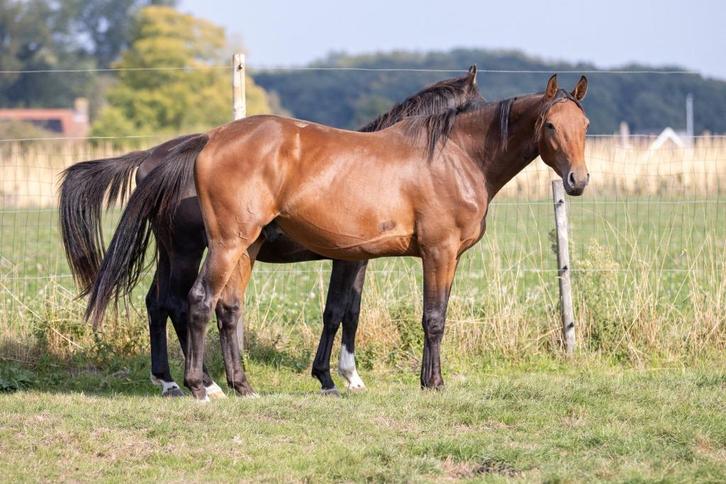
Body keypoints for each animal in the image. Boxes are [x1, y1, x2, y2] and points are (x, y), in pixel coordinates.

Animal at [86, 73, 589, 400]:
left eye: (583, 126)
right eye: (550, 125)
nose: (578, 180)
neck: (453, 156)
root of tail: (206, 142)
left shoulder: (359, 257)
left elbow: (344, 313)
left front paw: (339, 377)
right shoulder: (437, 253)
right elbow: (432, 318)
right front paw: (431, 383)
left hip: (234, 249)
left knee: (215, 308)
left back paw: (237, 385)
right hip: (214, 247)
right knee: (192, 302)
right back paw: (198, 386)